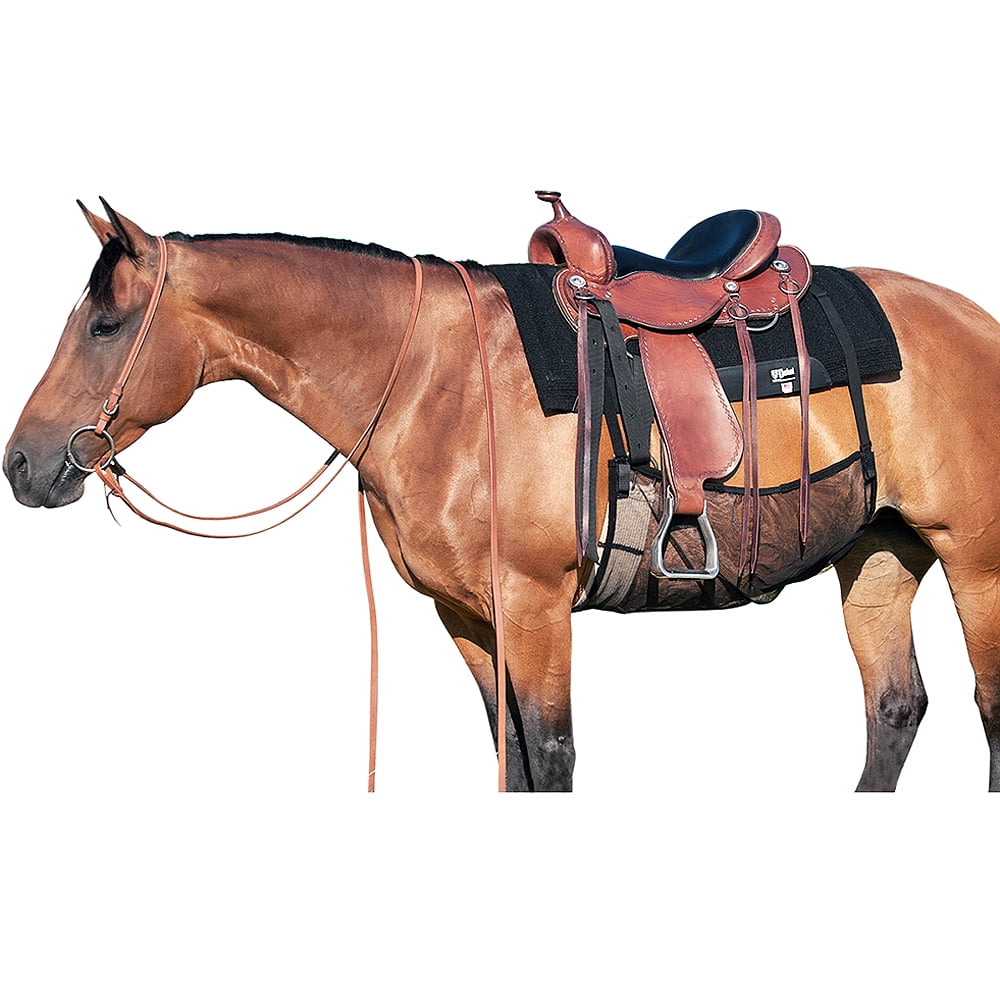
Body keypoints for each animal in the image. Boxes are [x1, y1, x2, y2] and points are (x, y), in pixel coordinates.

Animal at [6, 200, 1000, 792]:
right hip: (879, 554)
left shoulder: (534, 605)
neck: (430, 377)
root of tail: (977, 320)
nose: (21, 464)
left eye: (105, 325)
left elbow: (551, 754)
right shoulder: (468, 615)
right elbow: (510, 754)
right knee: (895, 708)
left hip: (976, 563)